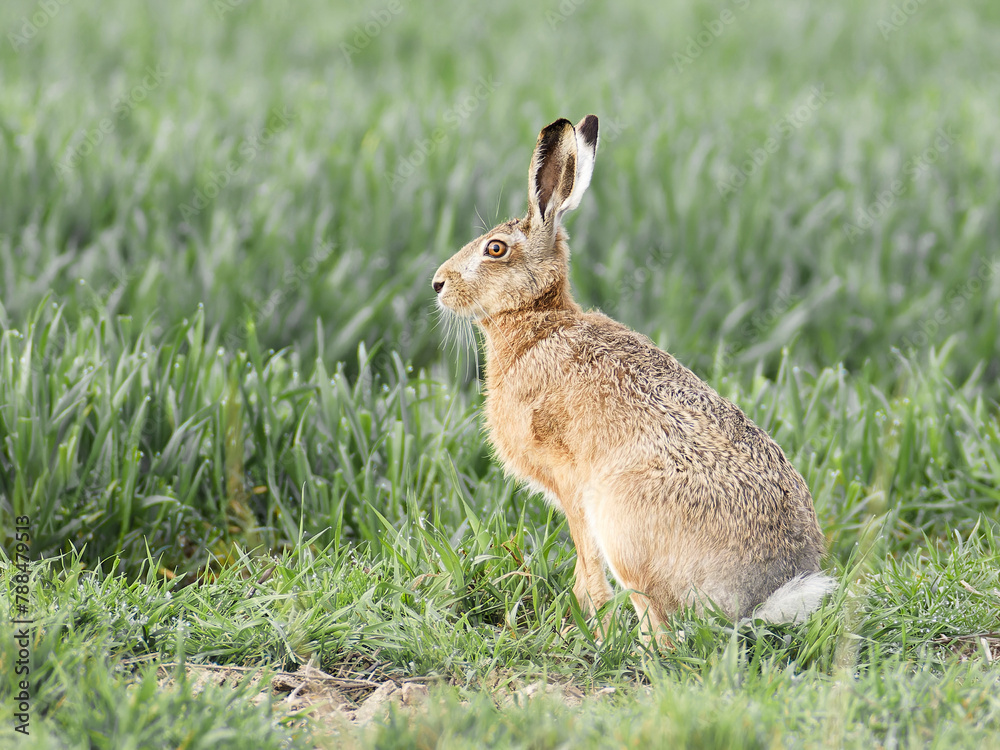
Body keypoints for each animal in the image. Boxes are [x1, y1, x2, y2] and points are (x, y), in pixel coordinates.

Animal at [431, 115, 835, 643]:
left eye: (494, 249)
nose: (437, 283)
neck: (538, 321)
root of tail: (761, 596)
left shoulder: (572, 486)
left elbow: (587, 566)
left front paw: (589, 625)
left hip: (622, 523)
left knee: (661, 628)